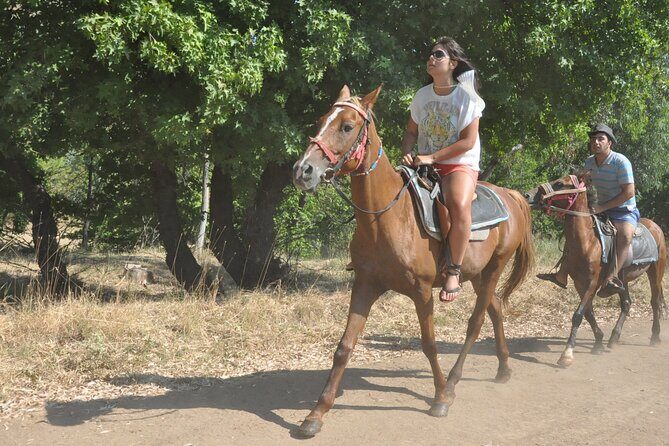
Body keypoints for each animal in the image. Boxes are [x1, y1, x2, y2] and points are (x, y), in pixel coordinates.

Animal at [291, 85, 535, 437]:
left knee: (475, 323)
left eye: (347, 126)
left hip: (494, 269)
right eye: (321, 120)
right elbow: (344, 347)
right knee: (496, 309)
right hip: (478, 275)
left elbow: (429, 343)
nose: (303, 170)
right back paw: (503, 368)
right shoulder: (364, 286)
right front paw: (316, 414)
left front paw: (441, 396)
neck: (386, 217)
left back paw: (454, 382)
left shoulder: (421, 292)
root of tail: (511, 196)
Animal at [525, 172, 666, 367]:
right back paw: (613, 338)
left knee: (654, 302)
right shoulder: (579, 283)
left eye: (559, 183)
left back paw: (655, 336)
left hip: (656, 271)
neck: (588, 242)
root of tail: (656, 227)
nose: (527, 195)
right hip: (622, 280)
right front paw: (598, 342)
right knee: (626, 303)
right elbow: (588, 313)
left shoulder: (593, 282)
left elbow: (578, 314)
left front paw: (567, 354)